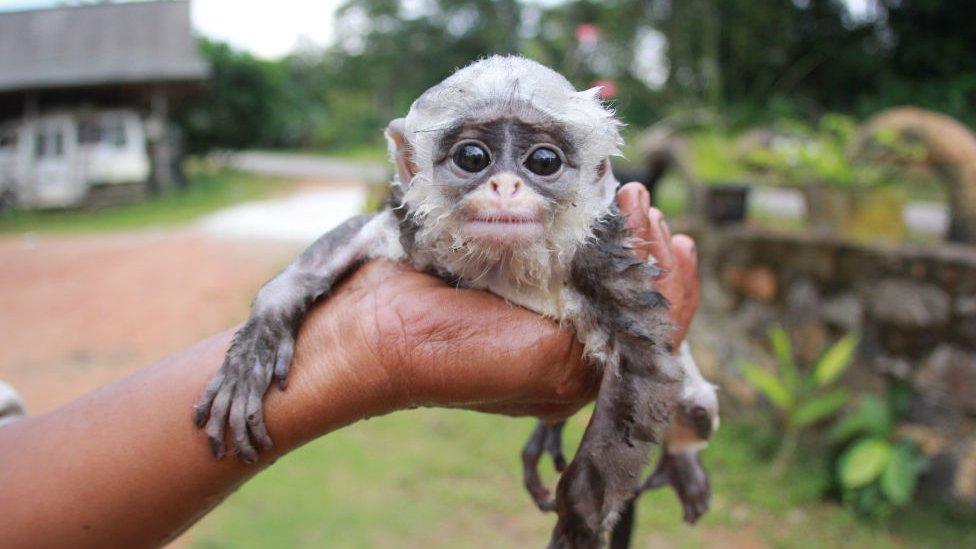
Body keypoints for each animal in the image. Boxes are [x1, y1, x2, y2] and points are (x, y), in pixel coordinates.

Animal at [196, 55, 716, 544]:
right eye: (472, 156)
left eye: (543, 162)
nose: (505, 185)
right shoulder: (408, 226)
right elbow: (331, 253)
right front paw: (255, 347)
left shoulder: (601, 259)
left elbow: (644, 362)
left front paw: (579, 524)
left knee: (695, 409)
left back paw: (681, 460)